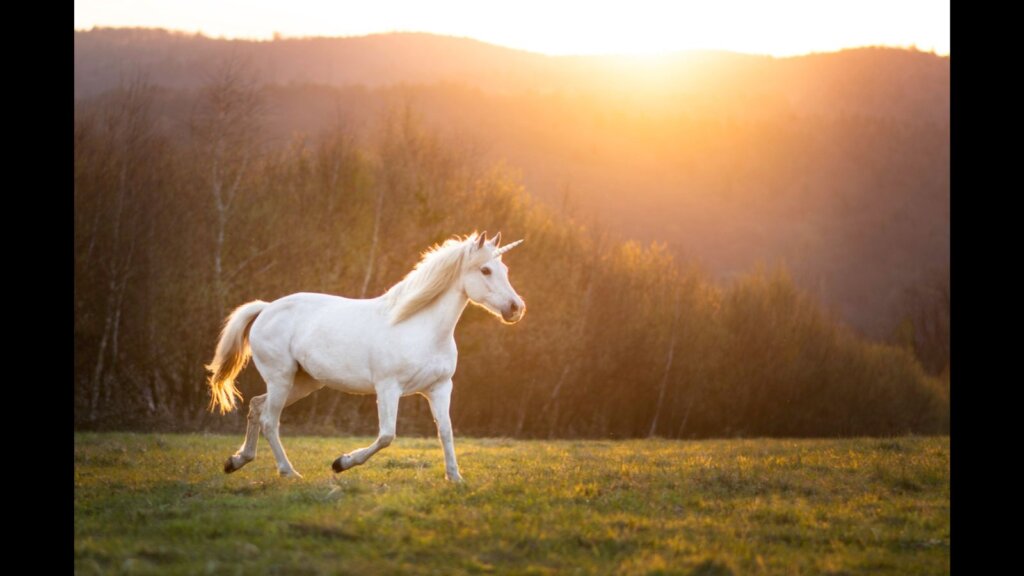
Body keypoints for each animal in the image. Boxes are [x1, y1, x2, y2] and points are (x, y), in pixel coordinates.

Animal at [203, 230, 524, 477]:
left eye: (506, 271)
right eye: (485, 270)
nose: (516, 309)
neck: (418, 327)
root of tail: (266, 308)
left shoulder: (440, 388)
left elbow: (445, 432)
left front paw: (455, 478)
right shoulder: (388, 388)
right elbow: (386, 436)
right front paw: (341, 463)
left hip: (303, 382)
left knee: (257, 407)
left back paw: (237, 461)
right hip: (281, 378)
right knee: (270, 420)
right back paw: (288, 471)